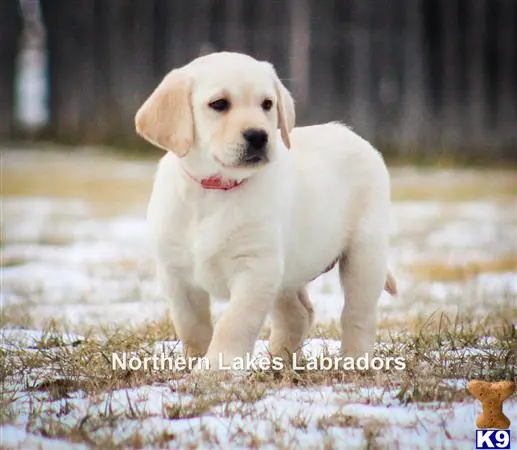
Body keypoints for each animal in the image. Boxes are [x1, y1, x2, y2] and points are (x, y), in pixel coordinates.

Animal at [134, 51, 396, 370]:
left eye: (267, 104)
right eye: (219, 104)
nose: (258, 136)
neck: (215, 189)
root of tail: (350, 134)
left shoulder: (256, 268)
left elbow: (233, 323)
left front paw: (215, 370)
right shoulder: (175, 273)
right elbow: (191, 325)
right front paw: (193, 363)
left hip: (364, 254)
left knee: (358, 315)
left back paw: (353, 360)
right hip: (288, 271)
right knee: (297, 315)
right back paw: (276, 363)